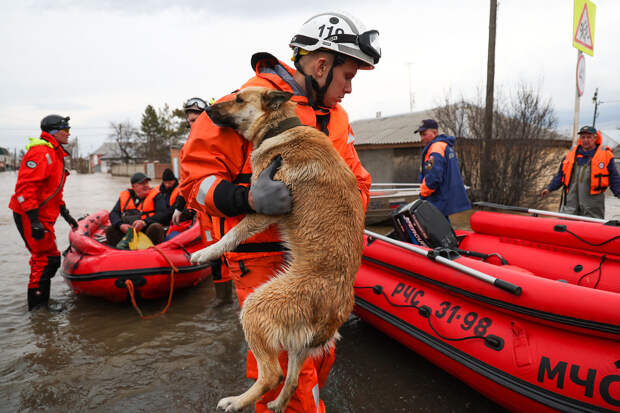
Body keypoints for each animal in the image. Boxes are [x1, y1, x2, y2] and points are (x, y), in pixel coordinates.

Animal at [189, 85, 364, 410]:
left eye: (239, 99)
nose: (206, 110)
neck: (281, 127)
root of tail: (333, 315)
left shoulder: (265, 208)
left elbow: (232, 235)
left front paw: (206, 252)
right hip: (297, 346)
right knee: (293, 380)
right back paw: (277, 404)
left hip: (253, 309)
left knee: (272, 374)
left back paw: (236, 402)